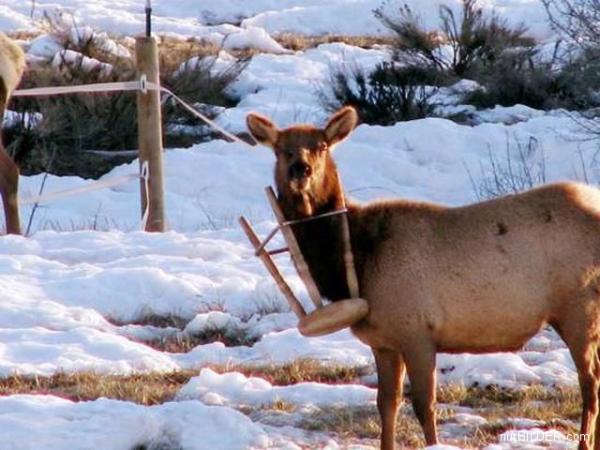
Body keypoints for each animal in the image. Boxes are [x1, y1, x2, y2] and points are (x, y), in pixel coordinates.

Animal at [246, 106, 600, 450]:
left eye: (321, 146)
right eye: (280, 150)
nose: (300, 169)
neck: (358, 259)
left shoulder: (417, 331)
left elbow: (424, 406)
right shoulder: (383, 342)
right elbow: (386, 404)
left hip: (578, 309)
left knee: (590, 383)